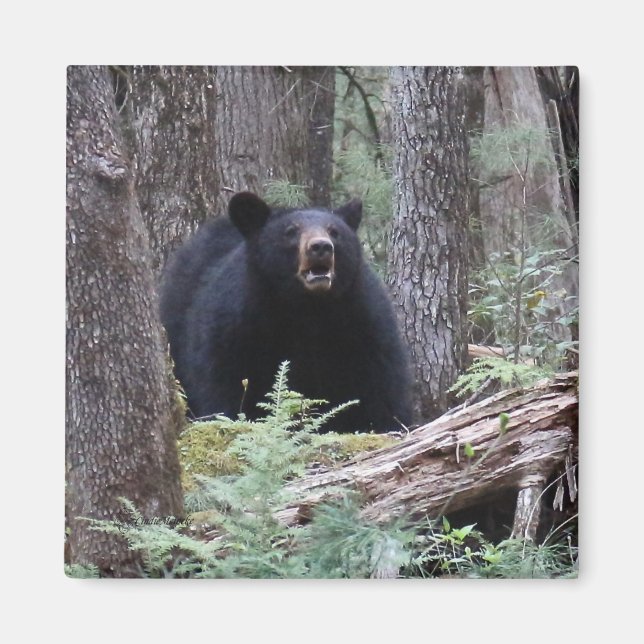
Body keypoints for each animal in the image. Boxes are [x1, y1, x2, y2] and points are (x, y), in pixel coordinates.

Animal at [159, 191, 411, 433]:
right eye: (291, 231)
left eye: (334, 231)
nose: (321, 247)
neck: (307, 309)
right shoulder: (236, 323)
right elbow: (222, 381)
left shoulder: (363, 321)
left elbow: (382, 384)